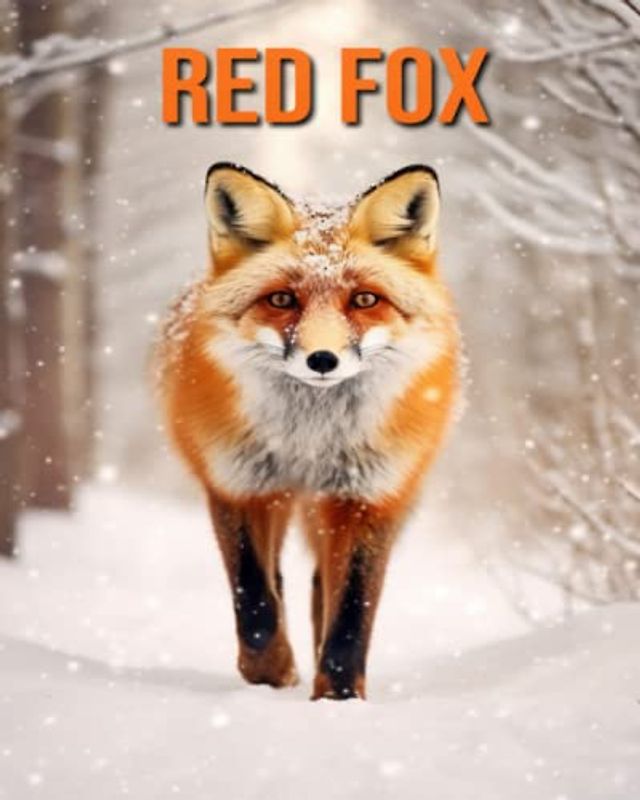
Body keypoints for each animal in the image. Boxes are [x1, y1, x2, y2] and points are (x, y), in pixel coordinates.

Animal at [155, 162, 459, 700]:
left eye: (364, 299)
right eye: (281, 299)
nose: (322, 360)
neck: (310, 442)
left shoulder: (368, 497)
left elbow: (351, 615)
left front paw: (338, 696)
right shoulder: (238, 483)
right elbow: (254, 600)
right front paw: (270, 672)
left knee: (322, 589)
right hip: (277, 498)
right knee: (278, 581)